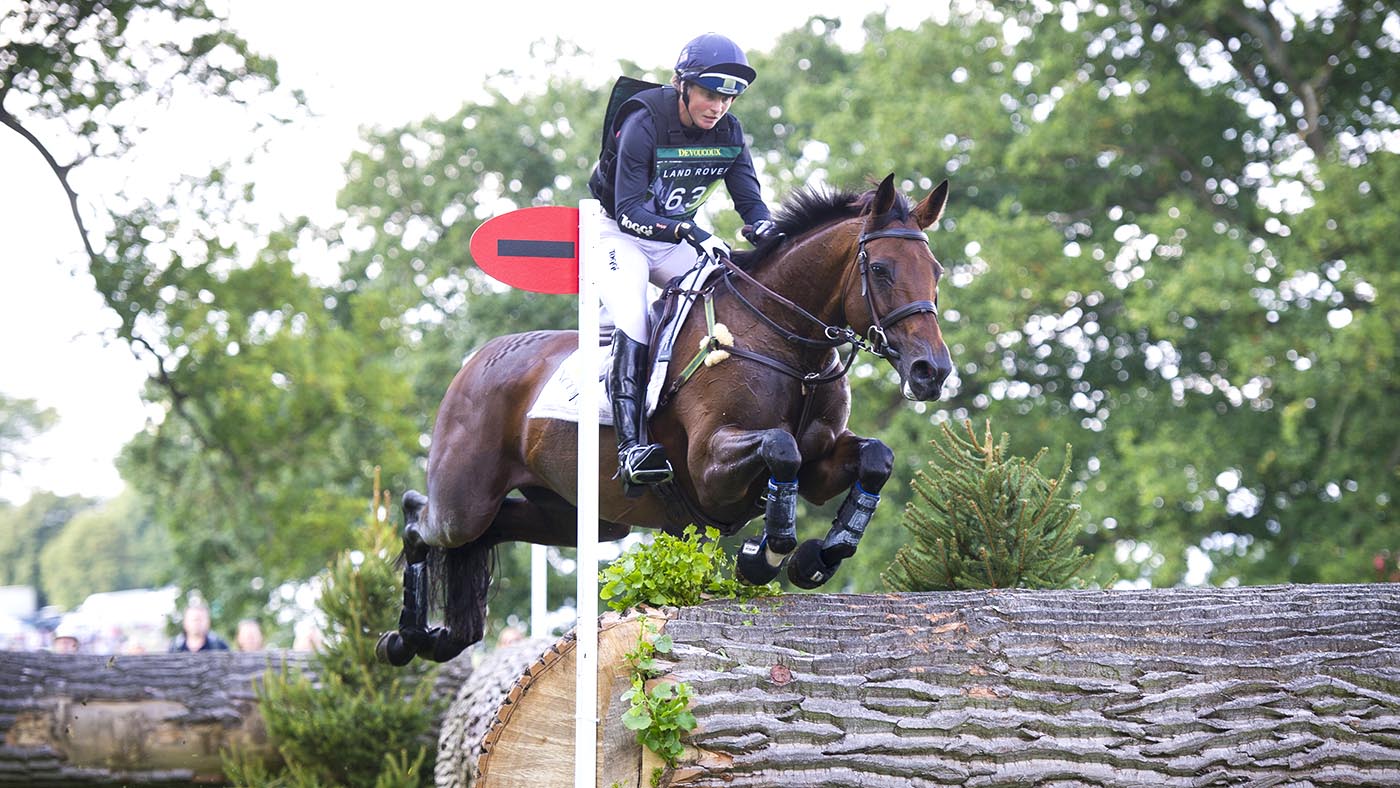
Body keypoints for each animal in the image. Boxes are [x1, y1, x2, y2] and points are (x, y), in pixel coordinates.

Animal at [377, 173, 952, 665]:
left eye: (937, 272)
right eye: (880, 270)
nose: (932, 371)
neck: (784, 339)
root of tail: (478, 359)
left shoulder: (820, 463)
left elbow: (875, 459)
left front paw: (819, 555)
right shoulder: (711, 468)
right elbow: (779, 450)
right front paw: (763, 556)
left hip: (579, 517)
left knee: (491, 531)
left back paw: (445, 637)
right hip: (465, 502)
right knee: (420, 519)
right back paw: (402, 639)